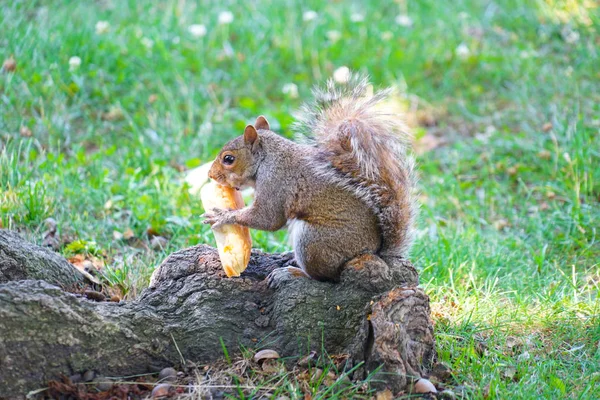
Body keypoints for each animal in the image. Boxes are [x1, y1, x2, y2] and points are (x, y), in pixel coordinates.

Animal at [204, 74, 414, 282]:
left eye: (228, 159)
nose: (210, 174)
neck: (268, 158)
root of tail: (374, 251)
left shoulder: (275, 181)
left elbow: (268, 218)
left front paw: (223, 216)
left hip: (313, 239)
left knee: (325, 276)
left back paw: (295, 272)